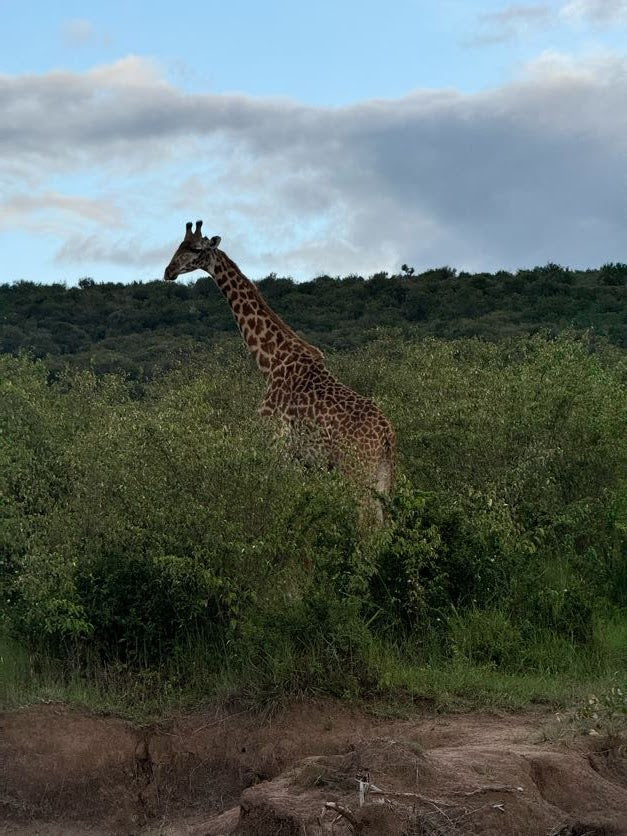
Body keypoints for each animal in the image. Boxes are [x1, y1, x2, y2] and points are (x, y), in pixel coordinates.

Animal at [163, 219, 398, 512]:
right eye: (179, 245)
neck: (272, 361)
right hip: (383, 478)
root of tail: (387, 437)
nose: (168, 271)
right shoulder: (300, 459)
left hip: (356, 472)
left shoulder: (275, 442)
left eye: (195, 249)